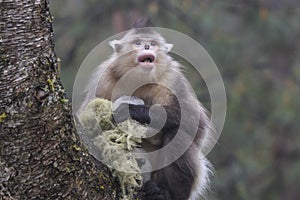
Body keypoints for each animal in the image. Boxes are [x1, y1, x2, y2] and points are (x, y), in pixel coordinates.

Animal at [79, 18, 211, 200]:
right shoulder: (104, 77)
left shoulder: (172, 77)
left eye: (153, 44)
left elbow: (196, 124)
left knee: (177, 134)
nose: (147, 47)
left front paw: (132, 110)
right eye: (138, 43)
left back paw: (166, 193)